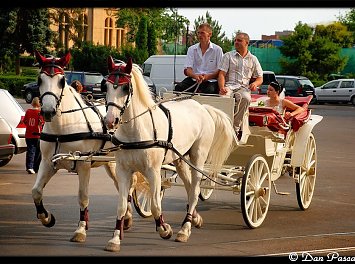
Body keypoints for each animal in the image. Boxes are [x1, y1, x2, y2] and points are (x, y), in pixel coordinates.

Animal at [31, 50, 134, 244]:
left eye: (61, 81)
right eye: (40, 80)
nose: (48, 111)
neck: (62, 128)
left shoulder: (84, 165)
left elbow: (83, 196)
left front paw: (81, 228)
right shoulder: (48, 163)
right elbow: (36, 191)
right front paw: (47, 218)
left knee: (128, 188)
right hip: (112, 164)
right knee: (123, 188)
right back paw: (127, 217)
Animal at [103, 57, 236, 252]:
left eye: (126, 87)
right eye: (106, 86)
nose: (110, 121)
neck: (137, 129)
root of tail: (203, 107)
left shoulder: (153, 171)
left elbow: (155, 205)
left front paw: (164, 229)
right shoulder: (123, 171)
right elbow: (121, 206)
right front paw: (114, 239)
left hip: (198, 158)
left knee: (195, 191)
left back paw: (185, 229)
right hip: (180, 159)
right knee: (189, 187)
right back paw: (194, 218)